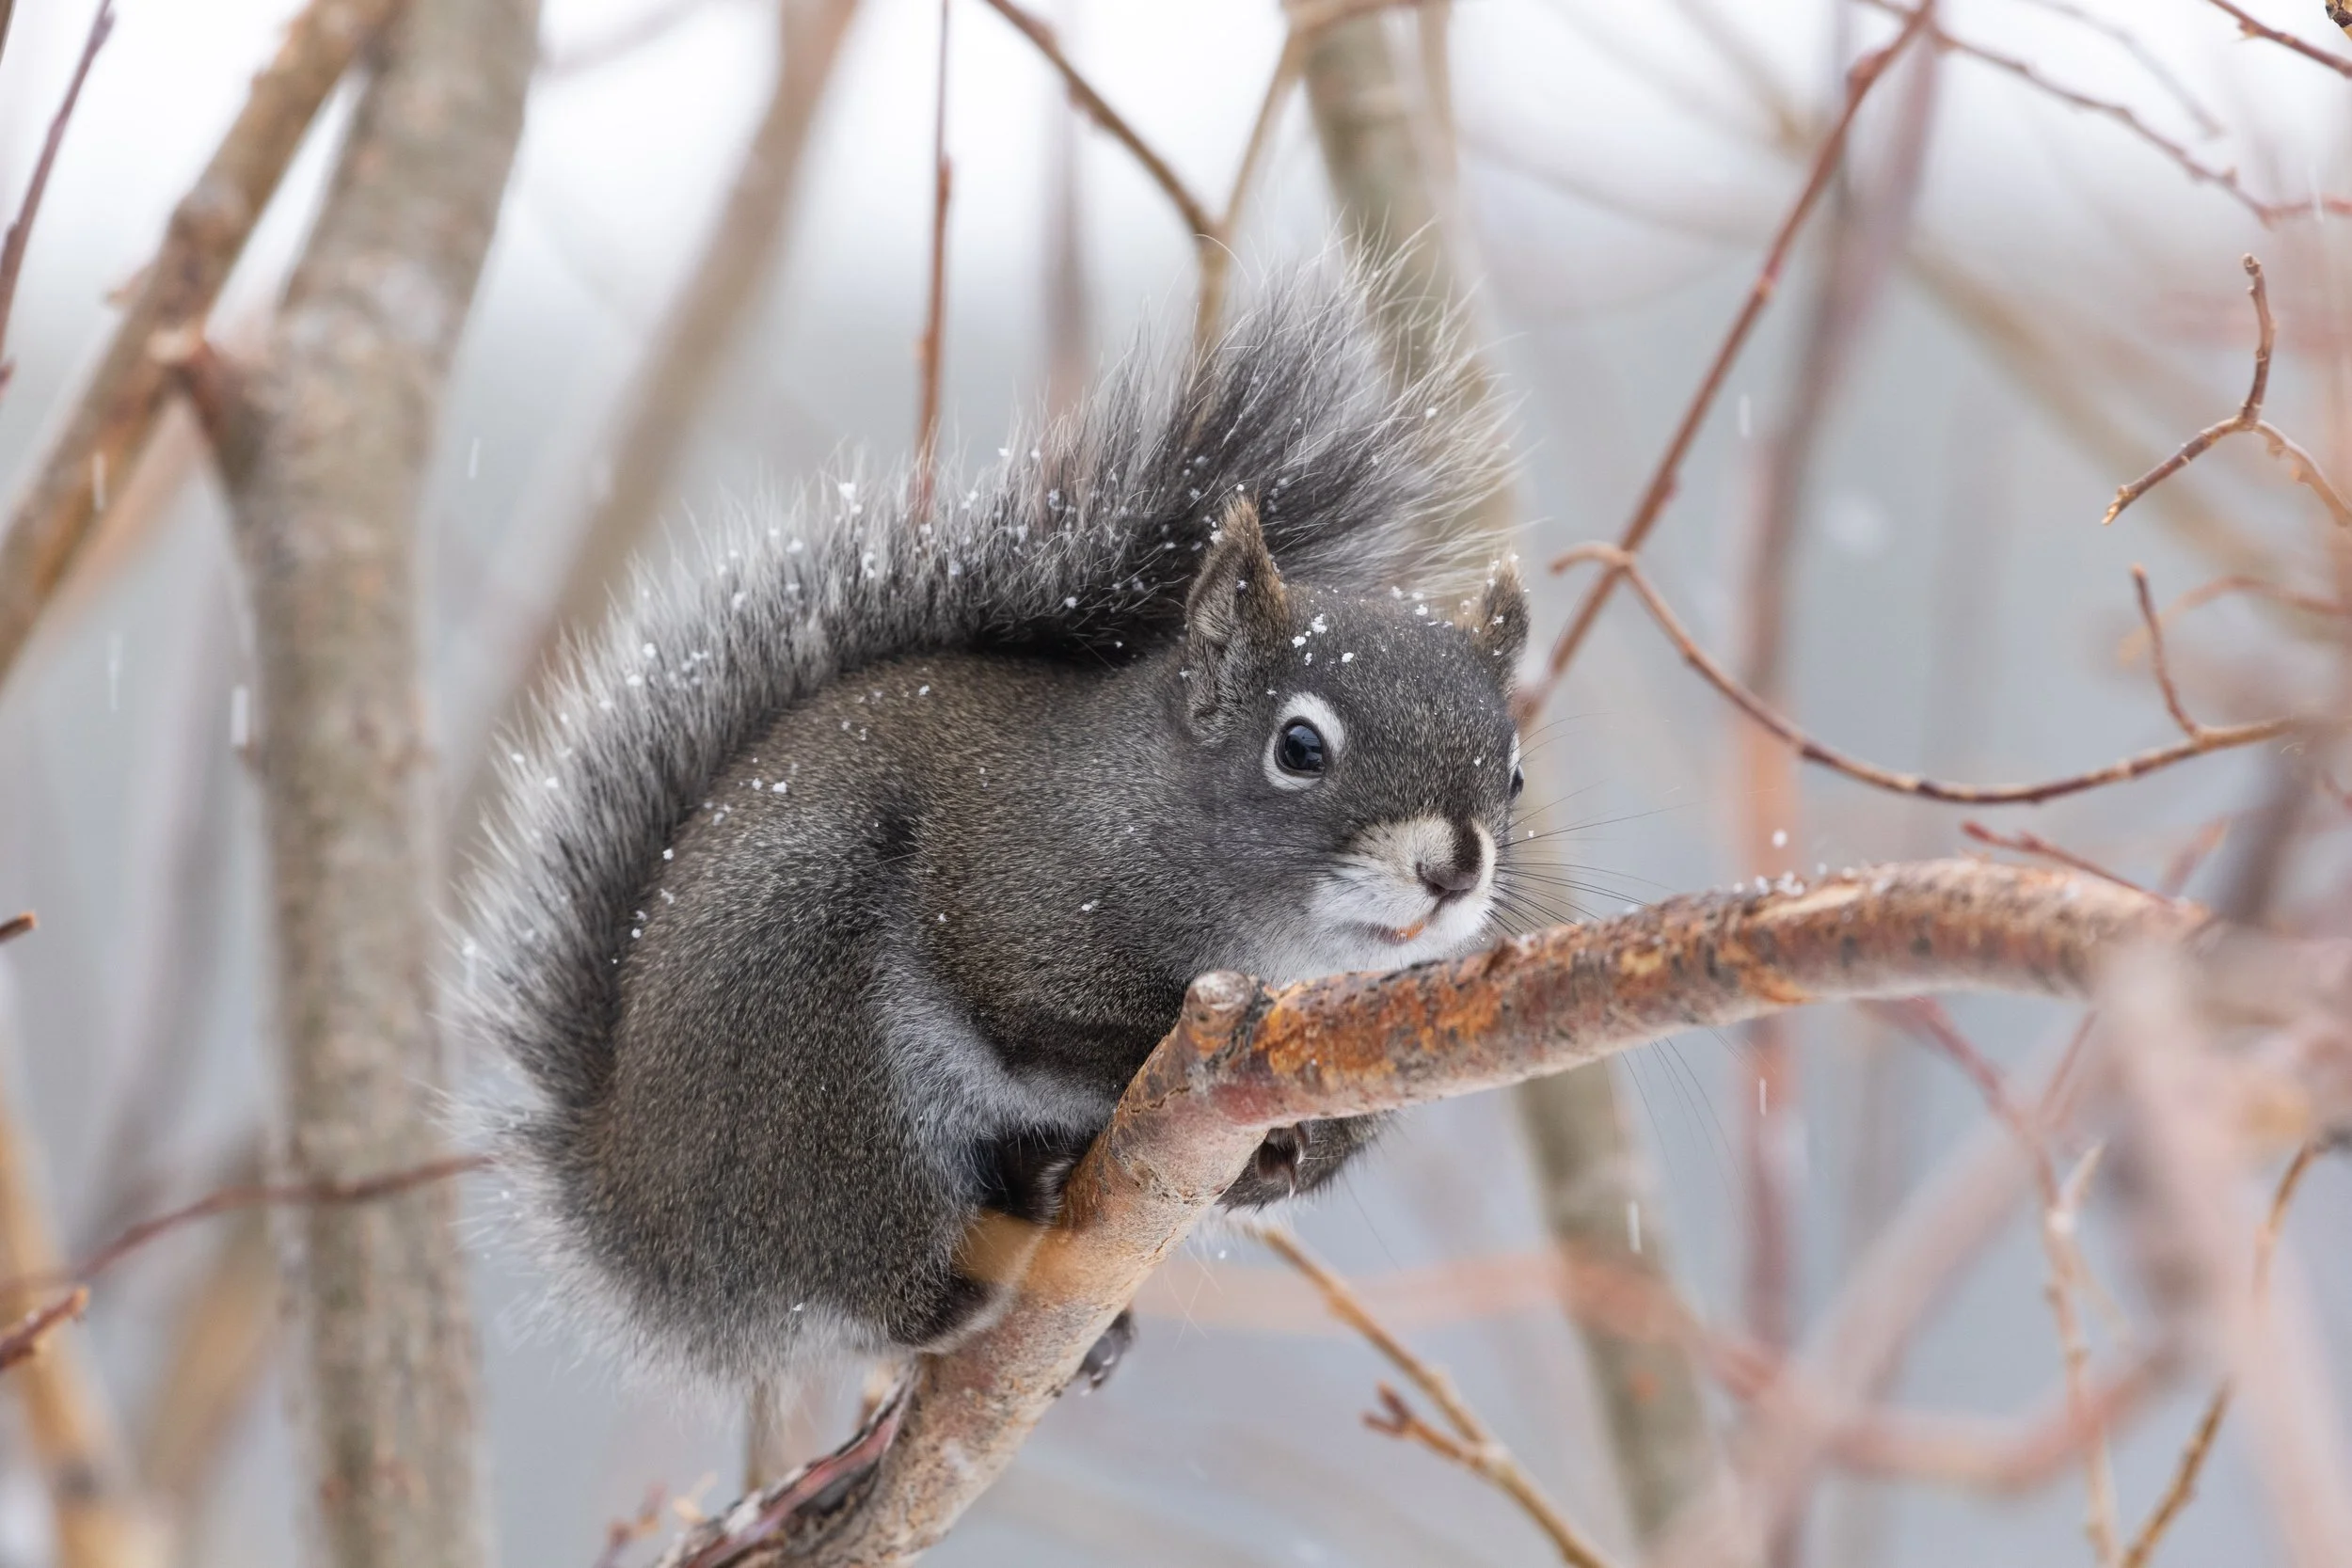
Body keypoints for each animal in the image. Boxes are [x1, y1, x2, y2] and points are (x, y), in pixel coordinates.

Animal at [460, 282, 1531, 1389]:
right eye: (1300, 747)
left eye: (1515, 771)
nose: (1453, 868)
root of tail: (634, 1214)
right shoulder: (1013, 895)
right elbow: (1039, 1015)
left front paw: (1294, 1153)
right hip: (810, 1060)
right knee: (876, 1280)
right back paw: (976, 1269)